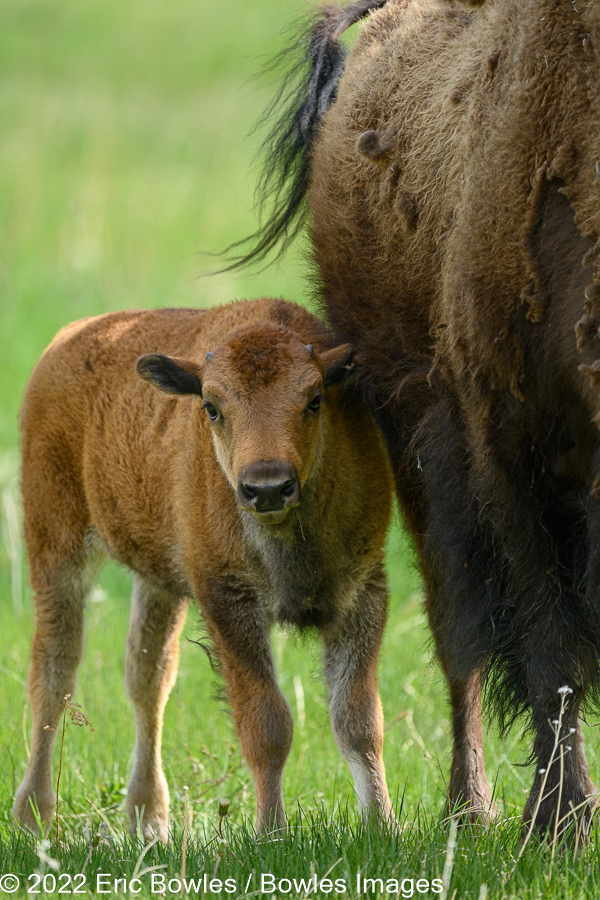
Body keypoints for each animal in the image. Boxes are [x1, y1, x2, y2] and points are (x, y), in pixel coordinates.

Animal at [11, 298, 394, 840]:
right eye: (212, 407)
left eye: (316, 398)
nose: (267, 487)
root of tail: (67, 340)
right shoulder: (226, 598)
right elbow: (267, 724)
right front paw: (271, 832)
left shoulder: (362, 593)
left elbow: (359, 723)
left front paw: (384, 827)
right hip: (55, 546)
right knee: (54, 672)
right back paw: (34, 815)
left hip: (157, 582)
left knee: (147, 678)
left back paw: (148, 818)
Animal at [237, 0, 600, 832]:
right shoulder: (510, 452)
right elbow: (551, 647)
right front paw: (557, 825)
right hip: (413, 450)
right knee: (455, 640)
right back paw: (471, 809)